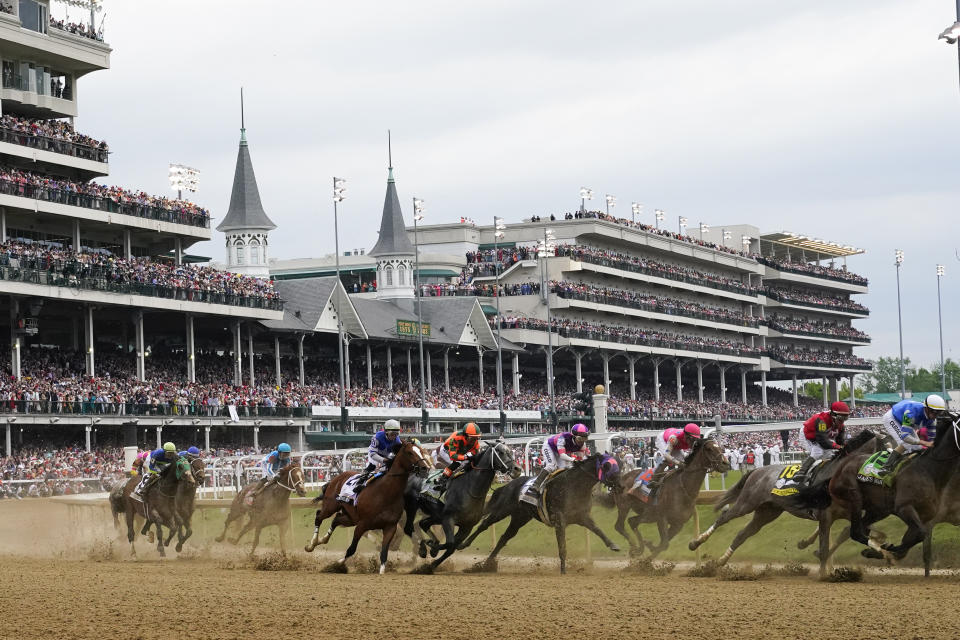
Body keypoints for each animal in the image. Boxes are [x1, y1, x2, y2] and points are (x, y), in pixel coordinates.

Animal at [306, 440, 430, 576]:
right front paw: (336, 565)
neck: (385, 493)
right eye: (409, 452)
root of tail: (336, 478)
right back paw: (312, 544)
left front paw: (381, 571)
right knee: (319, 516)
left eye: (421, 450)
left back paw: (323, 540)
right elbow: (351, 549)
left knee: (336, 519)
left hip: (351, 518)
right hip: (331, 507)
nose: (425, 468)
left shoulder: (390, 527)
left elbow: (384, 552)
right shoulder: (362, 524)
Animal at [404, 440, 524, 568]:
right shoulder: (448, 519)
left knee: (423, 523)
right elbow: (450, 543)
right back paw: (422, 548)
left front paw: (432, 561)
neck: (470, 490)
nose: (517, 469)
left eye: (510, 451)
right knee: (408, 528)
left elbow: (451, 548)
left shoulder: (467, 526)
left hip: (436, 515)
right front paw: (431, 547)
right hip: (412, 507)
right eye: (500, 452)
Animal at [458, 450, 624, 576]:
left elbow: (598, 530)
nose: (621, 486)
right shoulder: (559, 520)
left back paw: (487, 565)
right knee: (484, 524)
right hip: (502, 509)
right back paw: (463, 544)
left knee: (504, 538)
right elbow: (562, 547)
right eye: (607, 466)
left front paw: (613, 545)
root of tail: (509, 484)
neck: (574, 486)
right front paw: (563, 571)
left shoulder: (582, 516)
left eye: (620, 466)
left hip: (520, 518)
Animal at [688, 428, 880, 568]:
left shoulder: (846, 512)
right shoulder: (826, 513)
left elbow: (857, 530)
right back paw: (696, 543)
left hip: (768, 511)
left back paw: (721, 560)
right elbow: (828, 542)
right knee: (724, 518)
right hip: (747, 502)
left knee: (743, 534)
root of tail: (758, 470)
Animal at [824, 412, 960, 576]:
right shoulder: (904, 508)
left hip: (878, 510)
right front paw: (889, 549)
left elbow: (913, 538)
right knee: (855, 531)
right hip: (853, 496)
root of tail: (838, 470)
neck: (928, 471)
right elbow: (920, 534)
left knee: (859, 529)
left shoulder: (924, 516)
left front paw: (887, 551)